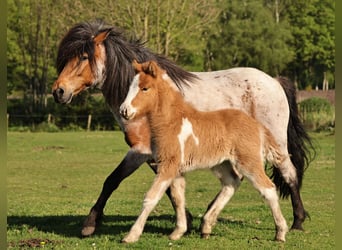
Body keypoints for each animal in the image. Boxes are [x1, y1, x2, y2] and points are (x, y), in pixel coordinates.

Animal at [120, 60, 288, 242]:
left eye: (145, 88)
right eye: (130, 86)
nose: (124, 110)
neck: (172, 121)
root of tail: (257, 125)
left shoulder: (168, 165)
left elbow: (150, 198)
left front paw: (131, 235)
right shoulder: (176, 169)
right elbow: (178, 199)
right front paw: (178, 231)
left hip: (248, 162)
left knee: (268, 189)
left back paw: (280, 232)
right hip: (222, 163)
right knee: (232, 182)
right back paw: (206, 226)